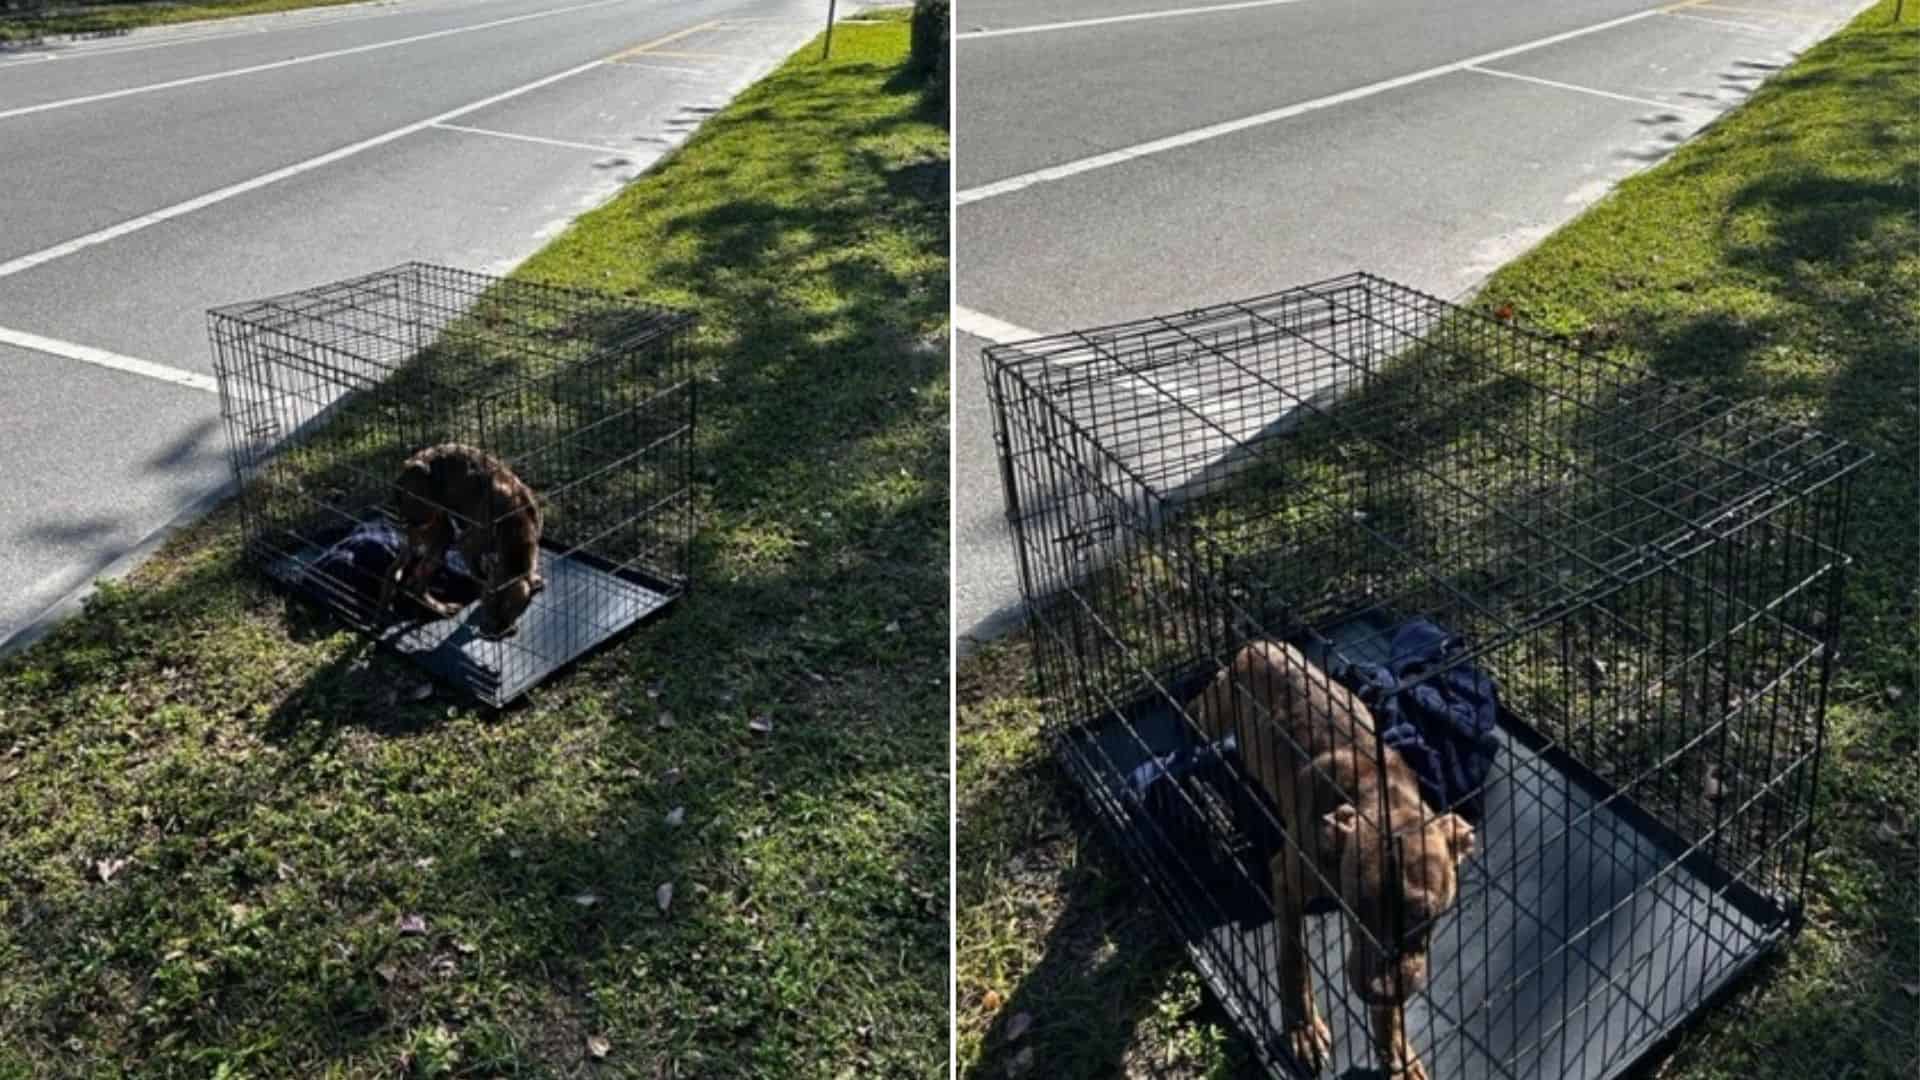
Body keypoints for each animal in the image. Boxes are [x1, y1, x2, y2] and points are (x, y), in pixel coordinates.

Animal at [374, 440, 545, 634]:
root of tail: (403, 471)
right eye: (488, 605)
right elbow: (480, 576)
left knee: (396, 571)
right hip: (430, 521)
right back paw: (440, 608)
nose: (491, 631)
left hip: (431, 534)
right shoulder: (468, 545)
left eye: (509, 609)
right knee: (415, 577)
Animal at [1182, 638, 1466, 1076]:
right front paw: (1302, 1028)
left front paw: (1396, 1049)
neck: (1378, 794)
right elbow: (1292, 956)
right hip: (1215, 709)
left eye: (1425, 915)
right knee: (1194, 710)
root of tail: (1260, 643)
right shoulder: (1286, 878)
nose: (1377, 993)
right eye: (1355, 908)